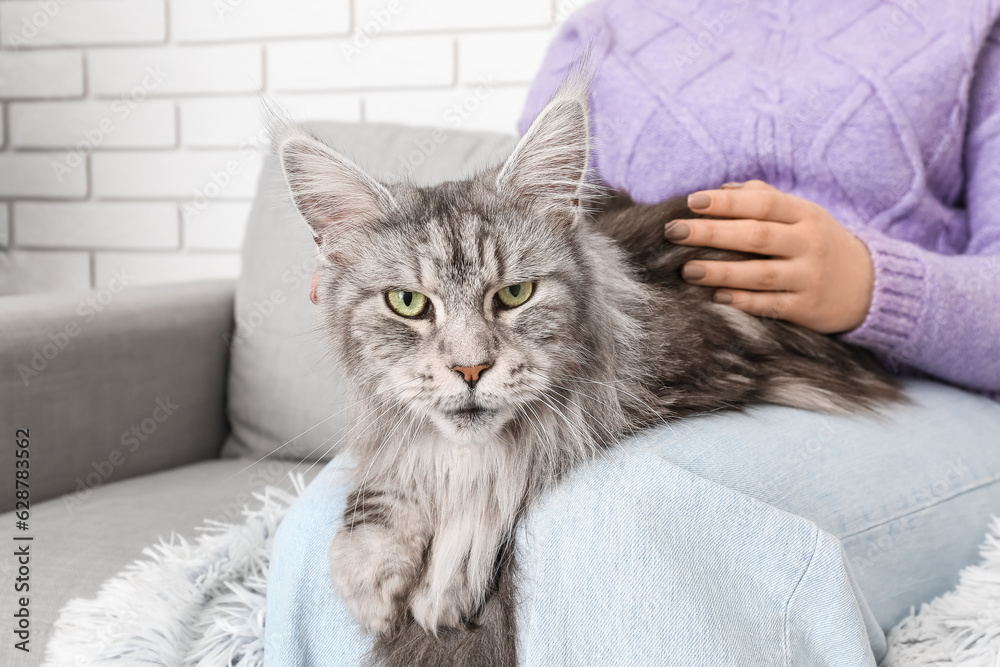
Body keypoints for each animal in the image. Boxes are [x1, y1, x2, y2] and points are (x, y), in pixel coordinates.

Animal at [274, 79, 900, 667]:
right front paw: (367, 573)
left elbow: (511, 470)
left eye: (516, 294)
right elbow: (382, 482)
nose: (470, 368)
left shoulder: (648, 385)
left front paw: (448, 575)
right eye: (407, 302)